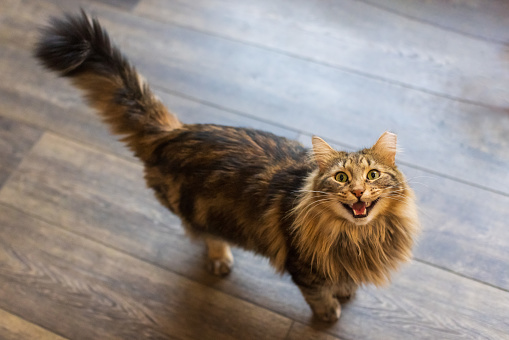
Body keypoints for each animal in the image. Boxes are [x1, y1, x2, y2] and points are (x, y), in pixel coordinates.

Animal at [34, 11, 416, 322]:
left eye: (372, 175)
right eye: (340, 177)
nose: (359, 191)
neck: (358, 237)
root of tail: (175, 133)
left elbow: (343, 278)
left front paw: (346, 290)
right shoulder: (303, 268)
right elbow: (319, 295)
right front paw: (330, 313)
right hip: (199, 212)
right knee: (205, 235)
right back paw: (220, 259)